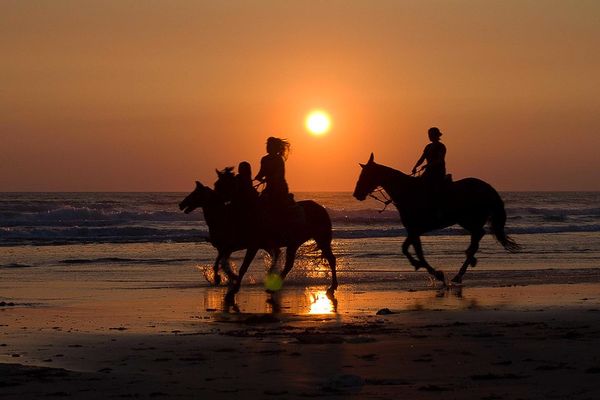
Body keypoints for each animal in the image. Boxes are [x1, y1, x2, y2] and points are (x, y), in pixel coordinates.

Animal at [178, 179, 338, 296]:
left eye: (195, 193)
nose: (181, 204)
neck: (226, 217)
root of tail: (321, 208)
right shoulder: (230, 246)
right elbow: (221, 261)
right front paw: (222, 278)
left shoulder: (251, 246)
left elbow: (241, 266)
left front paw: (233, 285)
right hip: (294, 243)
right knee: (288, 264)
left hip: (321, 238)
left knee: (330, 259)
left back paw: (332, 286)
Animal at [354, 154, 516, 284]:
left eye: (365, 175)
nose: (357, 194)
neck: (406, 191)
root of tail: (488, 188)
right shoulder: (413, 230)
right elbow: (407, 249)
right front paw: (420, 265)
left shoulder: (414, 230)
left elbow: (416, 252)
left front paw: (437, 274)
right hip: (467, 221)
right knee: (477, 236)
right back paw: (468, 261)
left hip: (469, 220)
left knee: (478, 236)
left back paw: (460, 273)